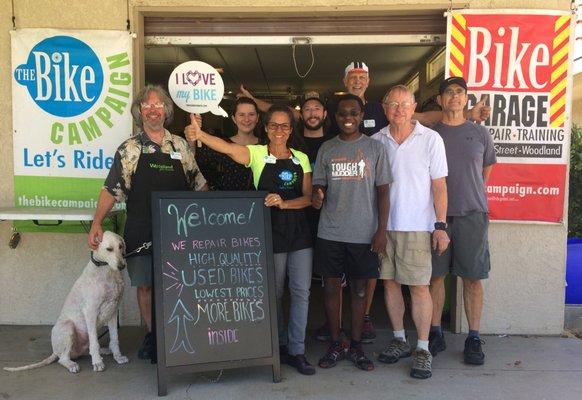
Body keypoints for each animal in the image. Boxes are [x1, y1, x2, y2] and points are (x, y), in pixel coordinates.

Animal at [4, 230, 130, 374]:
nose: (122, 266)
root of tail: (55, 351)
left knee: (85, 350)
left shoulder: (113, 311)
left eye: (120, 246)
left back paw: (103, 351)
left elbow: (114, 338)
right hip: (68, 327)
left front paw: (118, 357)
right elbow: (95, 342)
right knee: (63, 358)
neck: (107, 271)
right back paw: (72, 364)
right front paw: (97, 362)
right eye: (109, 249)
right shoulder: (90, 311)